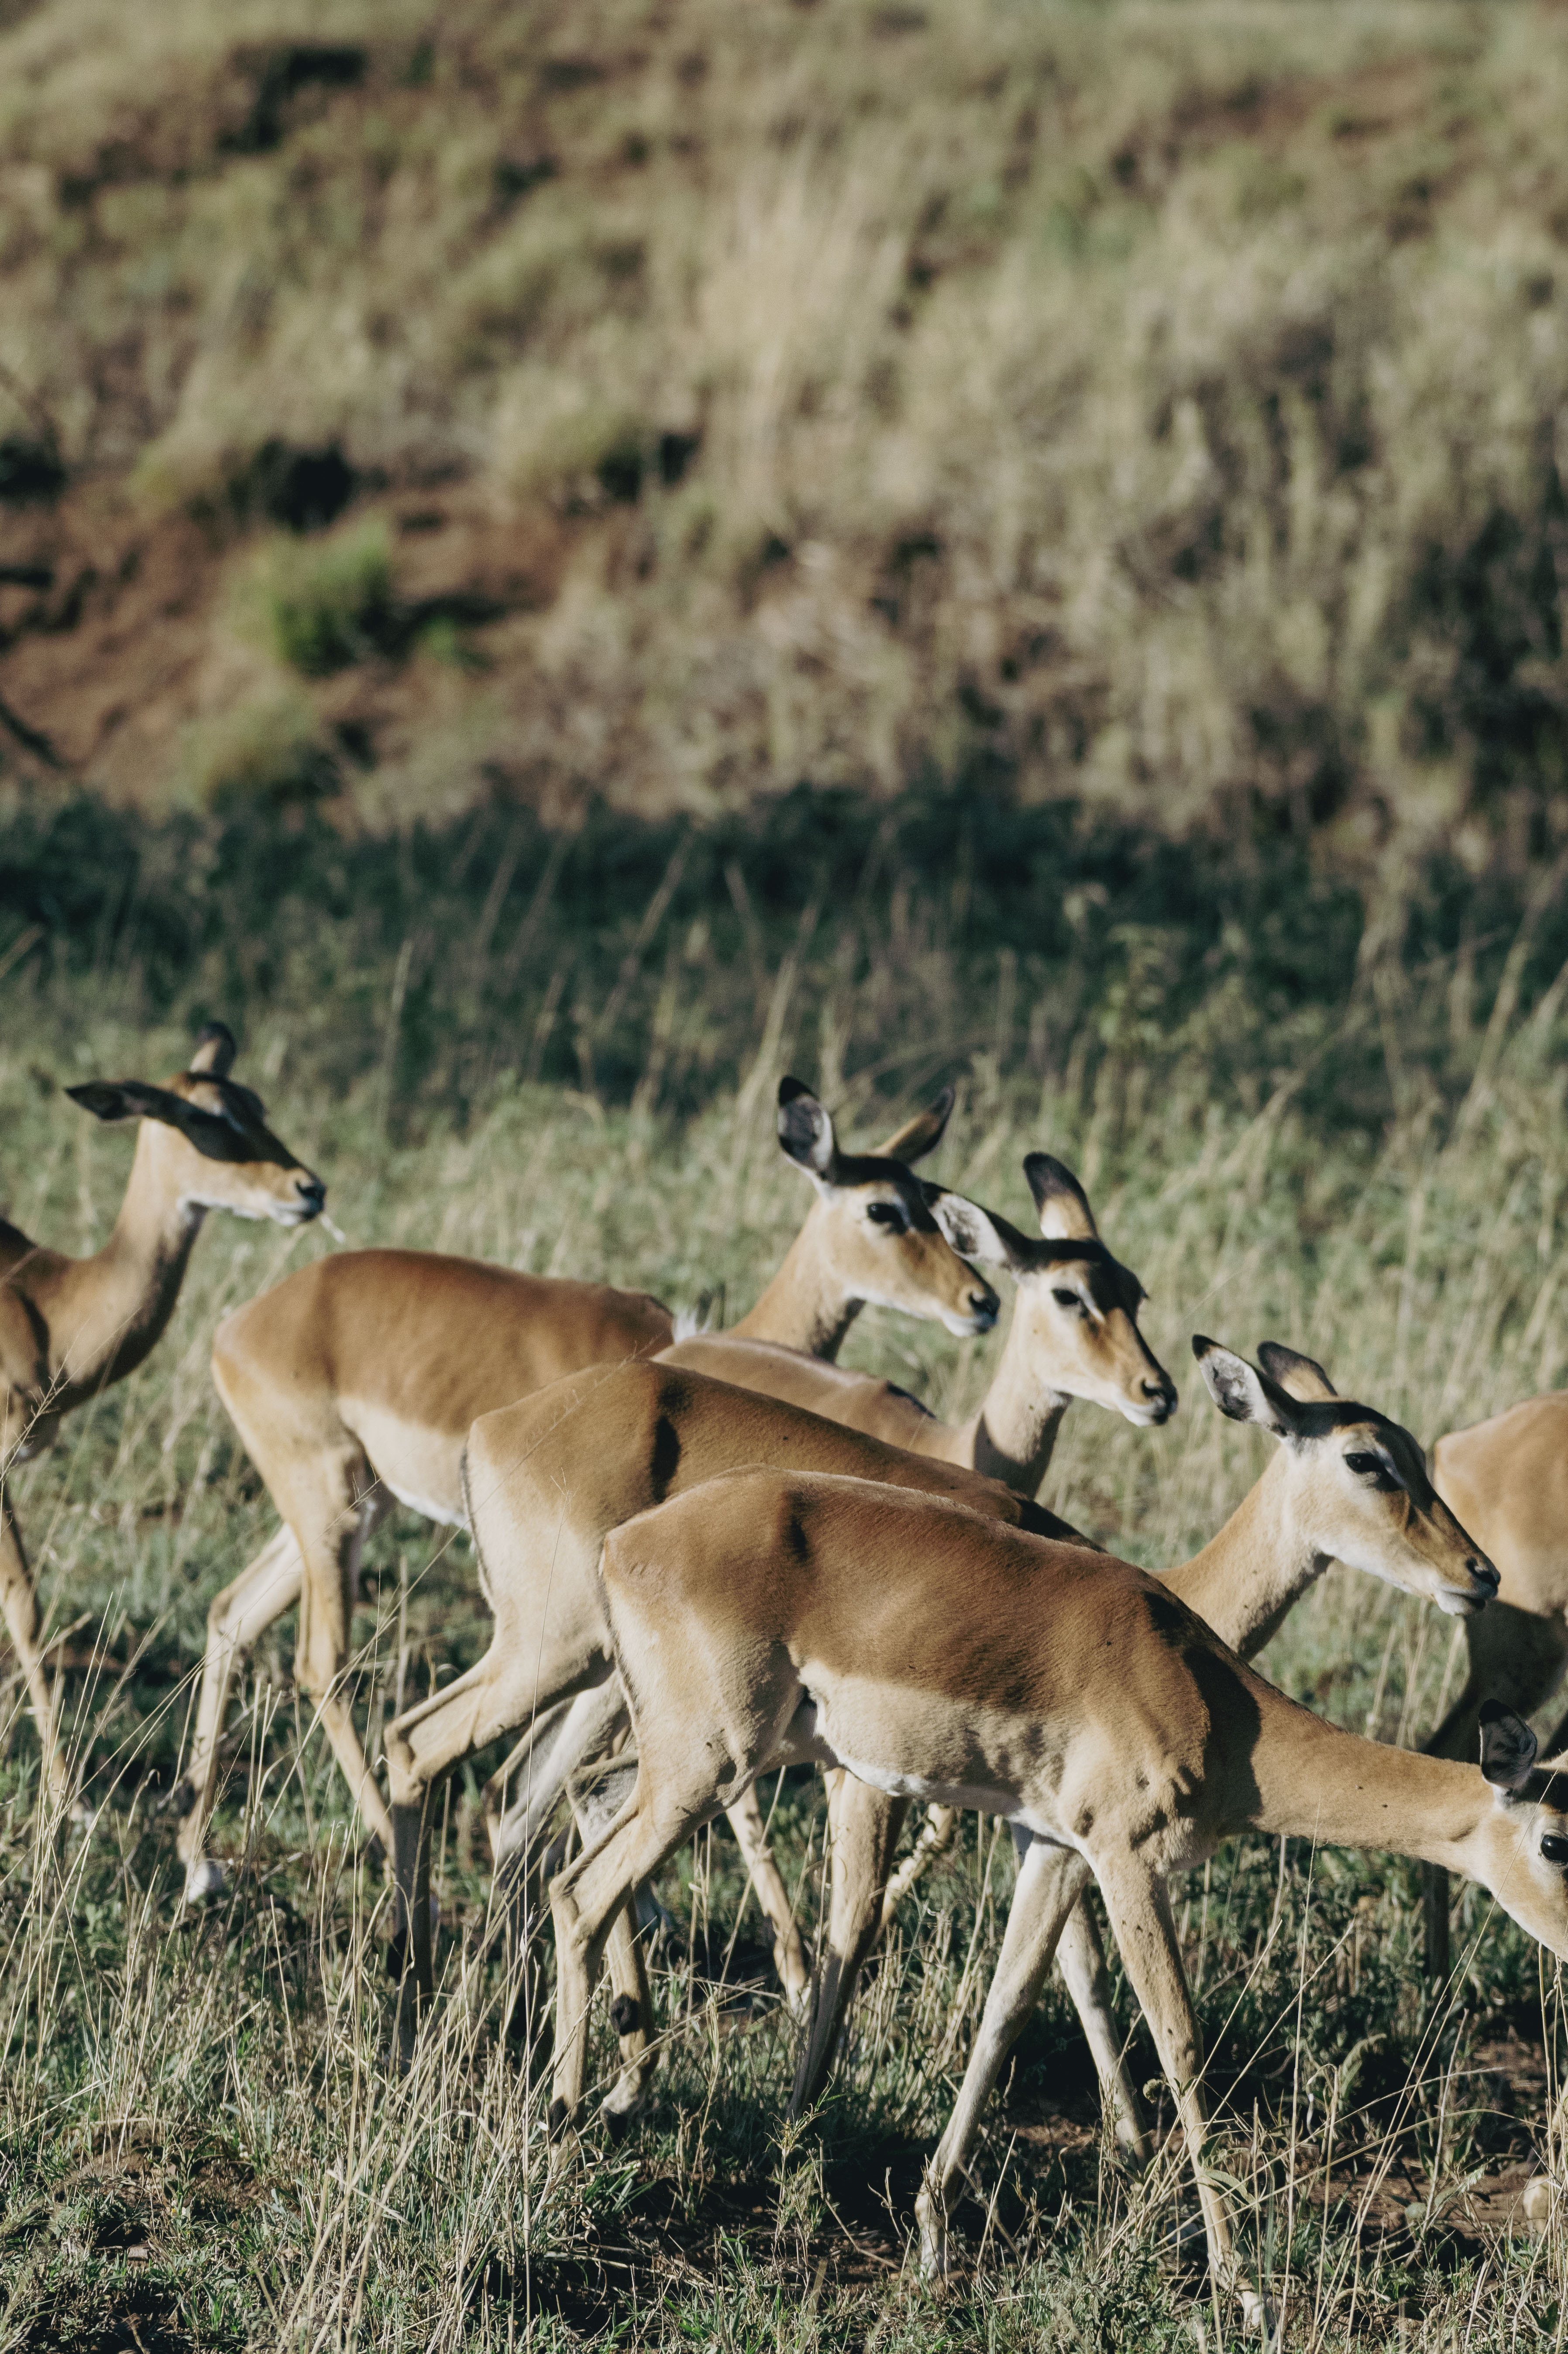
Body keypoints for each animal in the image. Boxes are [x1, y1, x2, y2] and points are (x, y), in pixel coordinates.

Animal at [0, 1024, 324, 1815]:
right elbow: (23, 1607)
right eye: (205, 1115)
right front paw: (66, 1795)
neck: (47, 1306)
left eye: (258, 1104)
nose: (308, 1189)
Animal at [170, 1079, 999, 1898]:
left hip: (351, 1509)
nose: (981, 1301)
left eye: (931, 1200)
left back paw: (201, 1862)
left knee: (232, 1614)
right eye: (883, 1209)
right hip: (339, 1514)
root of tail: (244, 1320)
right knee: (326, 1666)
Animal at [545, 1460, 1547, 2335]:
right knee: (581, 1891)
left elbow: (1005, 2007)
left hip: (720, 1759)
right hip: (712, 1764)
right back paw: (564, 2139)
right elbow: (1181, 2046)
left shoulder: (1057, 1851)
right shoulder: (1125, 1860)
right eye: (1553, 1838)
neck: (1213, 1704)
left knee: (578, 1833)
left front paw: (934, 2235)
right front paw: (1248, 2291)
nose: (1481, 1575)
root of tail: (624, 1540)